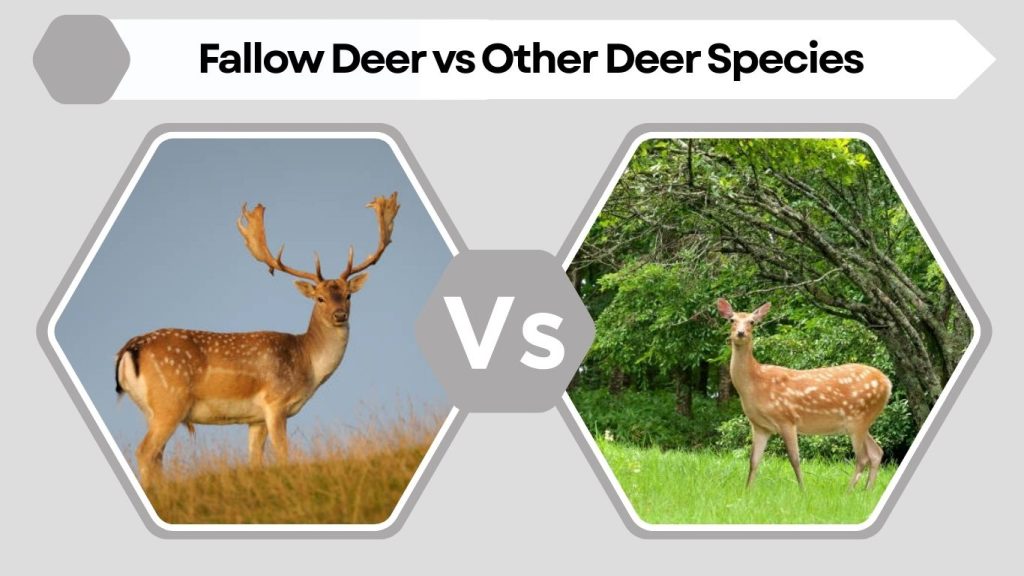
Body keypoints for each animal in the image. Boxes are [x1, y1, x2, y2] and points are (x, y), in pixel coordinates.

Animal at [114, 192, 400, 488]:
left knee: (157, 455)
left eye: (348, 295)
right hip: (169, 402)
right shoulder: (275, 403)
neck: (307, 364)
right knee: (145, 452)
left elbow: (255, 461)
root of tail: (129, 348)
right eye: (320, 298)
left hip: (151, 410)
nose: (340, 314)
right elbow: (283, 454)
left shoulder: (255, 419)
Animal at [716, 298, 891, 491]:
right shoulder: (760, 426)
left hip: (858, 418)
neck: (756, 384)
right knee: (876, 452)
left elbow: (795, 459)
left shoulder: (787, 418)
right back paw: (867, 490)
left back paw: (849, 491)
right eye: (731, 320)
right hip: (861, 421)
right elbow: (753, 461)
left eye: (752, 322)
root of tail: (887, 383)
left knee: (862, 457)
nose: (740, 333)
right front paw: (747, 490)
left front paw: (802, 490)